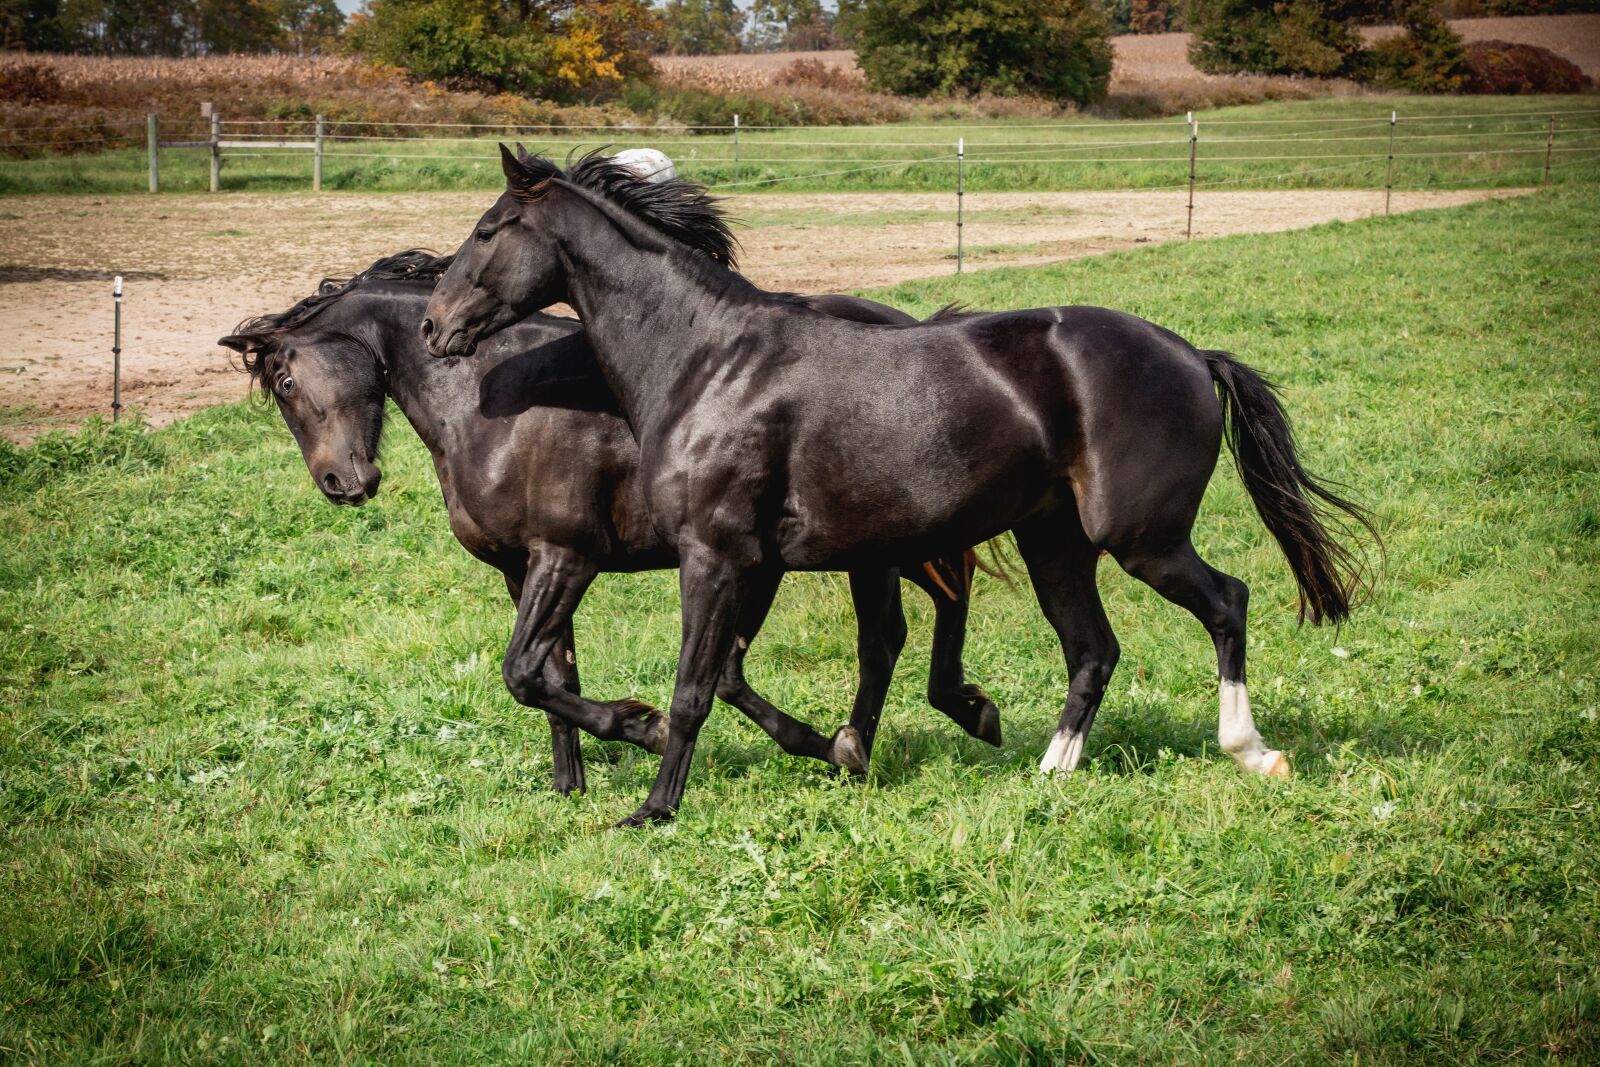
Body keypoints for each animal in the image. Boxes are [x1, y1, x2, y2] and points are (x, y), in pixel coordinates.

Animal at [221, 250, 1002, 795]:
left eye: (285, 382)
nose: (340, 484)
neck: (492, 401)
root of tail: (912, 328)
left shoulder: (567, 557)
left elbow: (523, 672)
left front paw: (642, 728)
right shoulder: (523, 569)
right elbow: (551, 675)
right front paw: (570, 786)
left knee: (902, 625)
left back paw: (906, 728)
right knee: (906, 622)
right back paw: (914, 724)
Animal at [422, 147, 1377, 826]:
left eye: (488, 229)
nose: (435, 326)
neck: (707, 360)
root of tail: (1191, 354)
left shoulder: (715, 555)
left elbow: (693, 687)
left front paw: (654, 804)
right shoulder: (757, 561)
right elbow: (729, 676)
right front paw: (838, 748)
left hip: (1139, 537)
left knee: (1227, 602)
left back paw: (1251, 750)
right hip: (1054, 543)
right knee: (1093, 649)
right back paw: (1046, 771)